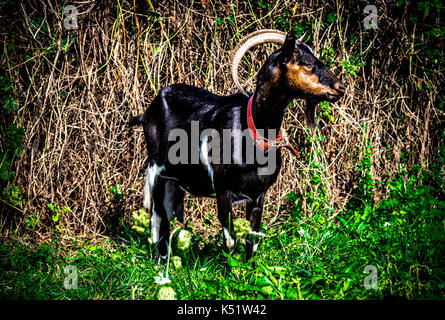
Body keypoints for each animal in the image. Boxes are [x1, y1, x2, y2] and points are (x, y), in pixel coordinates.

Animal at [128, 30, 344, 264]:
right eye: (308, 63)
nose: (340, 87)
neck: (253, 132)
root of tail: (148, 112)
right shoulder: (224, 192)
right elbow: (229, 240)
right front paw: (232, 271)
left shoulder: (258, 195)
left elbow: (253, 239)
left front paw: (250, 271)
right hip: (156, 170)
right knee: (157, 216)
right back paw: (160, 262)